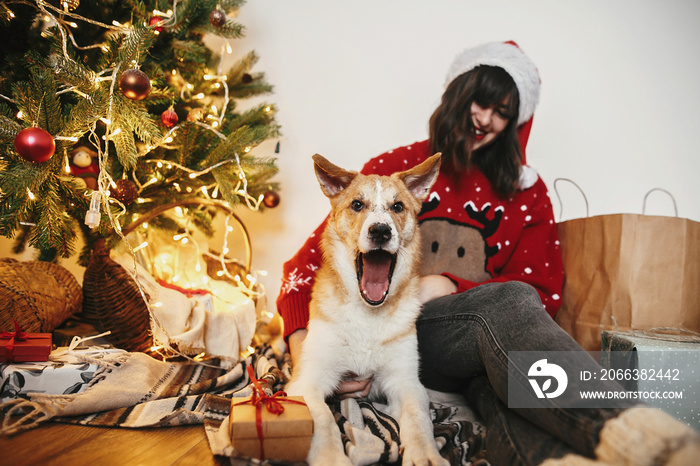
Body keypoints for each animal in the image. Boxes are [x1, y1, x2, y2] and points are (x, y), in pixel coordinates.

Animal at [286, 154, 446, 466]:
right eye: (357, 205)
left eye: (398, 207)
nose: (380, 231)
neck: (367, 316)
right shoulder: (306, 383)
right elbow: (323, 420)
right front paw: (331, 458)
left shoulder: (405, 382)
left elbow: (419, 419)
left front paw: (425, 454)